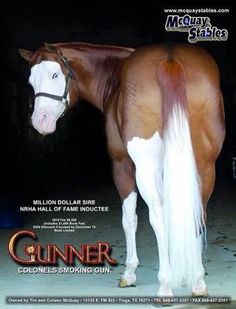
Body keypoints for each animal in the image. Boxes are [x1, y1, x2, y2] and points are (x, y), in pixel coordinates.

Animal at [18, 41, 225, 296]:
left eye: (55, 74)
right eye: (31, 81)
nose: (41, 121)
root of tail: (170, 58)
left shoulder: (122, 165)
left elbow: (130, 219)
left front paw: (130, 273)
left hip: (146, 168)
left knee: (158, 217)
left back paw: (165, 285)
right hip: (205, 165)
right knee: (198, 215)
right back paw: (197, 282)